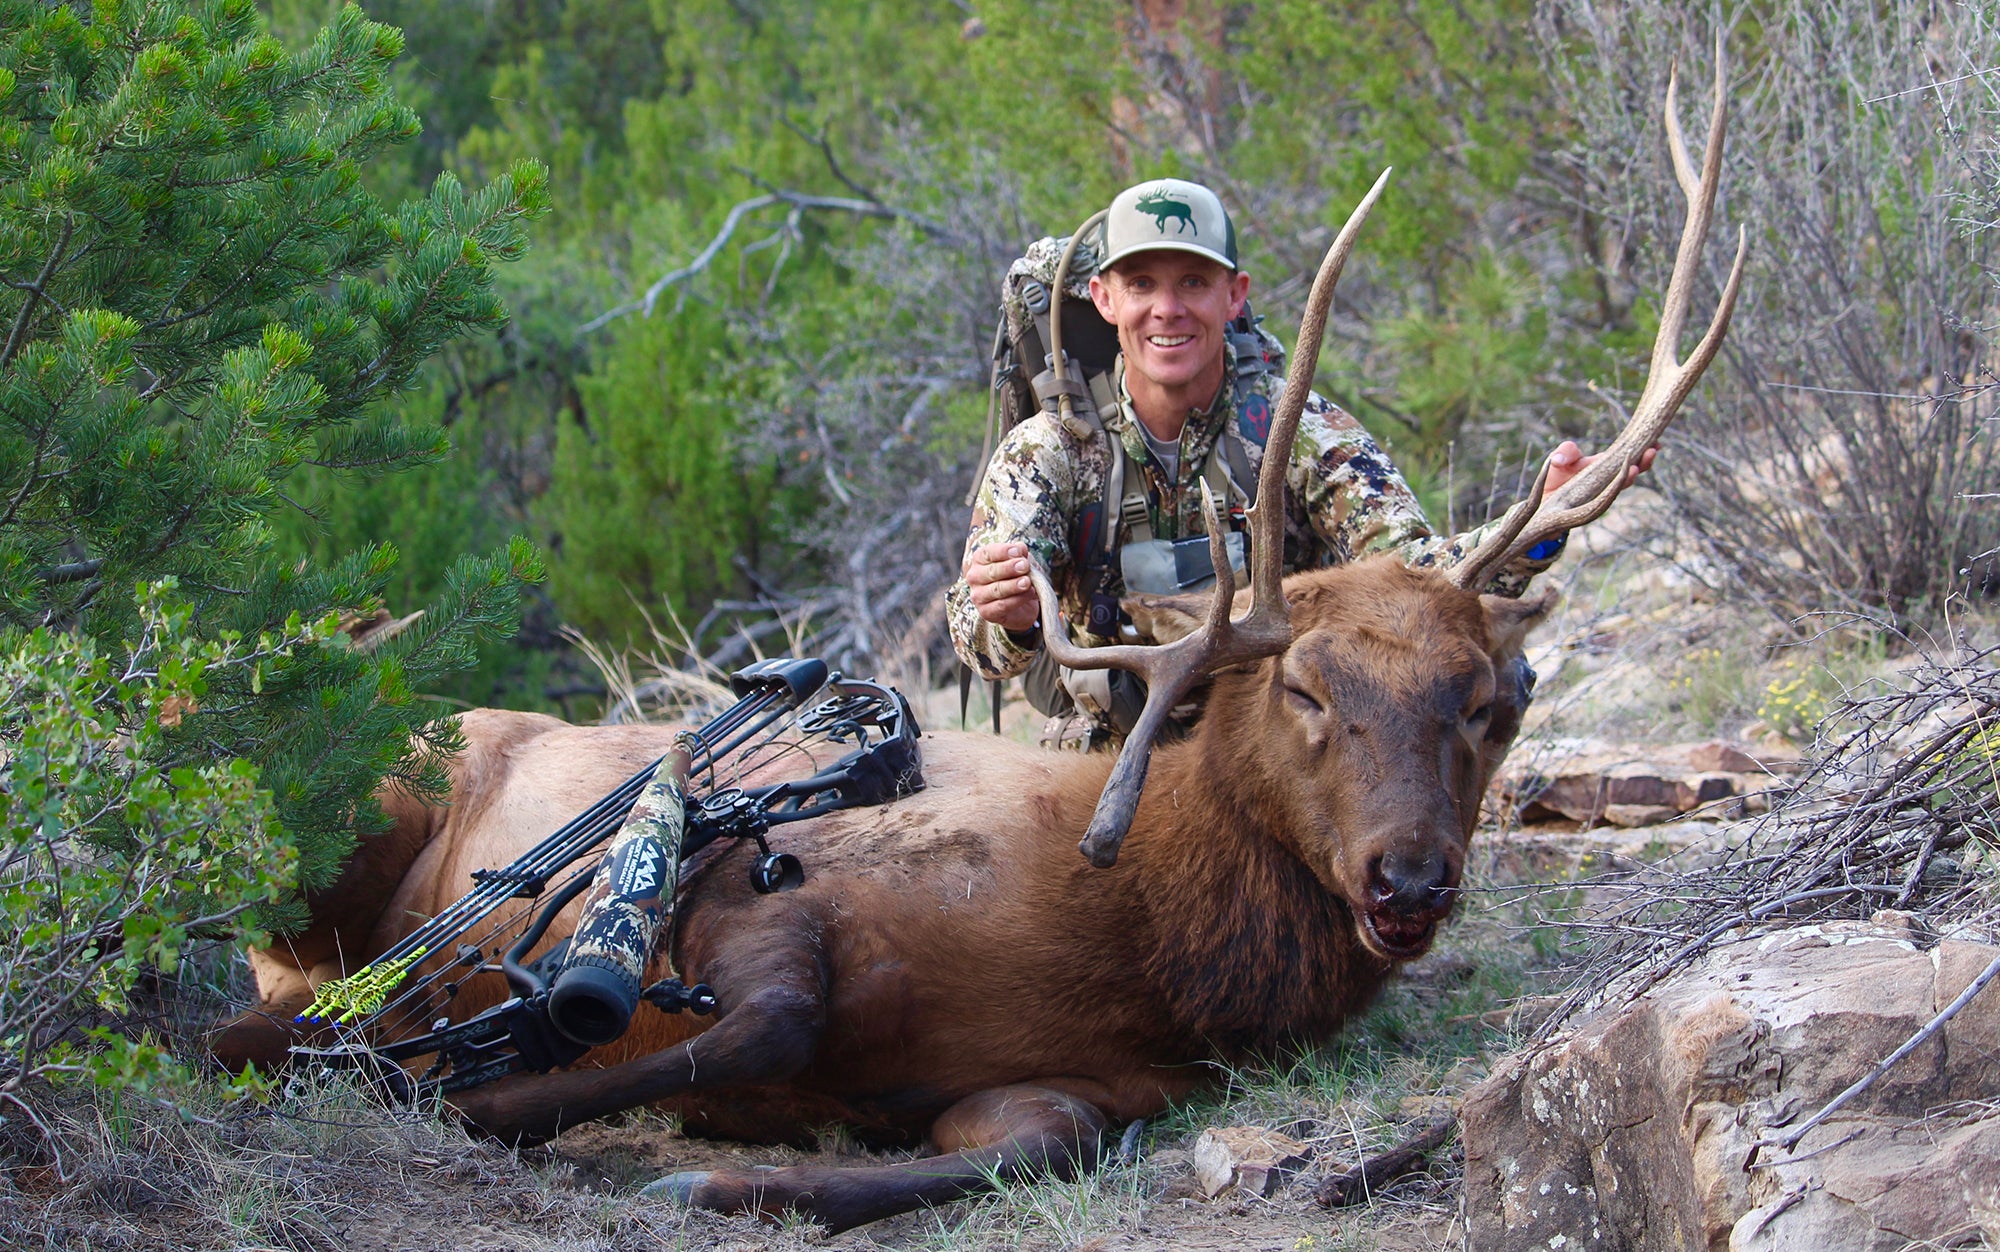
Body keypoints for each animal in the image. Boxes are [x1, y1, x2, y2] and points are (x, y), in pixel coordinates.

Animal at [211, 62, 1743, 1233]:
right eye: (1307, 686)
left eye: (1488, 701)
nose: (1408, 876)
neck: (1124, 939)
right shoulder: (767, 891)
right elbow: (717, 1024)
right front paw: (429, 1084)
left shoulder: (1081, 1084)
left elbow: (1011, 1143)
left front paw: (718, 1180)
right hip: (349, 809)